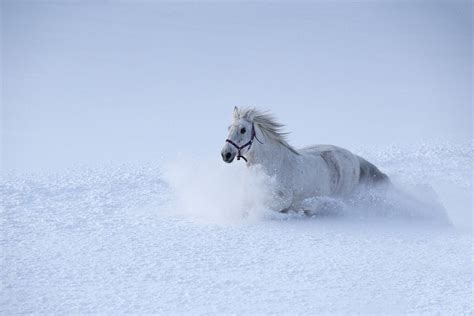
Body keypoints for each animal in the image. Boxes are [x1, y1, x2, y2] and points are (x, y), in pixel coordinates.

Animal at [221, 106, 388, 212]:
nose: (225, 154)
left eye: (243, 130)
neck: (270, 165)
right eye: (228, 128)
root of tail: (354, 158)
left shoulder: (281, 200)